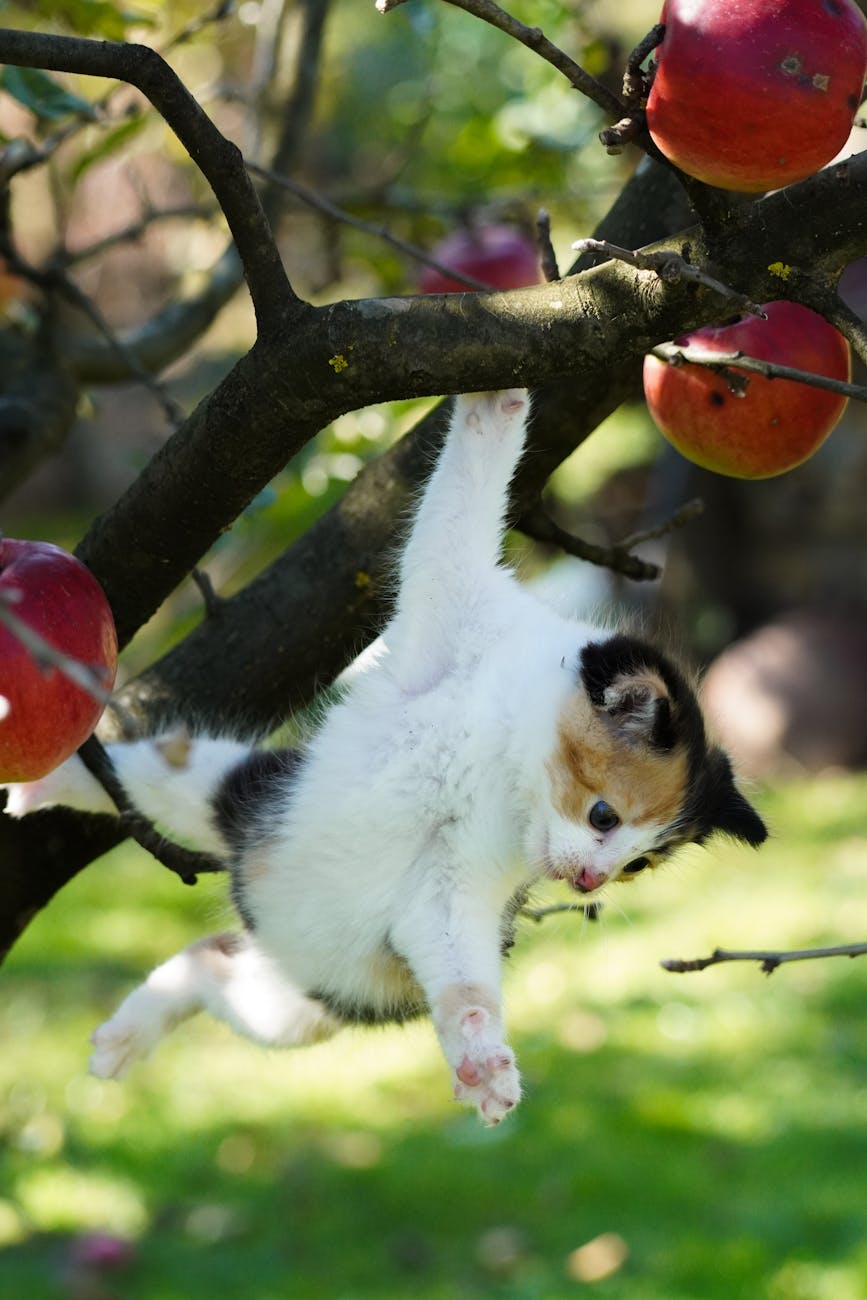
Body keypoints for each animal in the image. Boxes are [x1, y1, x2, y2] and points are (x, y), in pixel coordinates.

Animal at [5, 390, 764, 1123]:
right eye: (604, 817)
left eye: (639, 865)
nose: (591, 882)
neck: (496, 748)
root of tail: (266, 929)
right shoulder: (448, 598)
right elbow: (457, 505)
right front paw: (499, 399)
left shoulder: (448, 893)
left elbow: (464, 975)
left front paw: (483, 1059)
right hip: (258, 808)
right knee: (171, 782)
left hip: (312, 999)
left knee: (216, 965)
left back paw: (131, 1032)